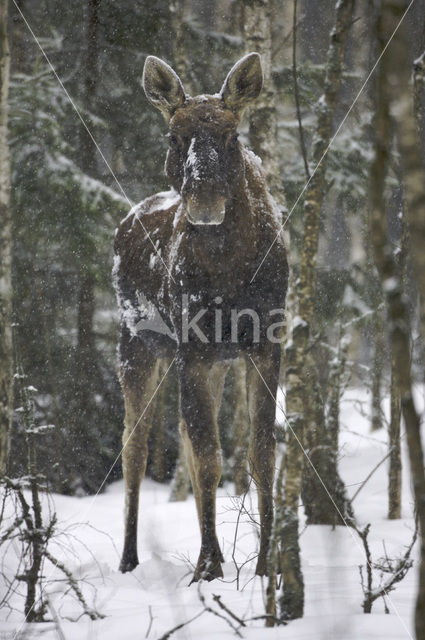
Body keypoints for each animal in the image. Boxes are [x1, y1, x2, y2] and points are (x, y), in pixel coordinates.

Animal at [113, 52, 288, 584]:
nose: (205, 202)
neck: (229, 270)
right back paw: (129, 558)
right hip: (137, 343)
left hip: (212, 361)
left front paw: (265, 565)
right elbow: (210, 460)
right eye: (174, 136)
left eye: (233, 136)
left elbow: (259, 454)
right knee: (135, 447)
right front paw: (208, 568)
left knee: (186, 446)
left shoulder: (265, 342)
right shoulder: (192, 348)